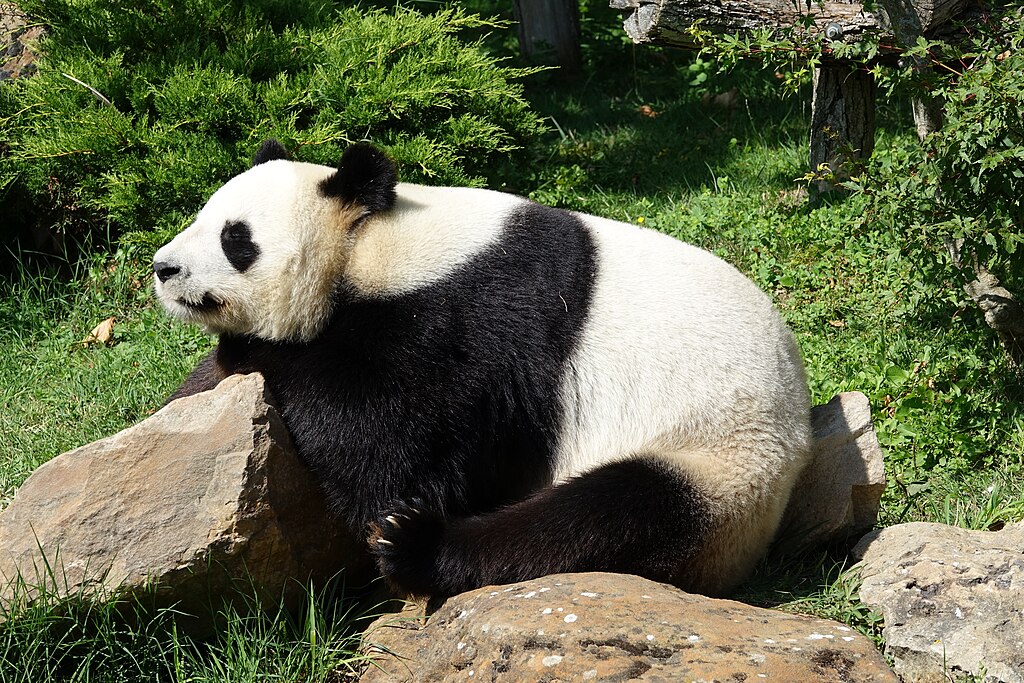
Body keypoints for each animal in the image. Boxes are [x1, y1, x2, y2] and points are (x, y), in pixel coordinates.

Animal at [151, 140, 811, 598]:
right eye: (201, 216)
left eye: (236, 239)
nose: (162, 268)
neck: (375, 244)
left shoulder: (470, 323)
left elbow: (391, 445)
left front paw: (256, 353)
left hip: (720, 459)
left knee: (601, 521)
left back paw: (416, 547)